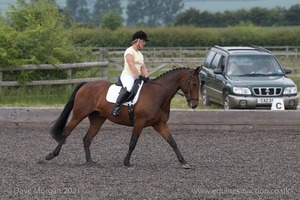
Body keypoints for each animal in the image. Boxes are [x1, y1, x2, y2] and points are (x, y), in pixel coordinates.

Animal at [45, 66, 202, 168]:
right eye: (194, 83)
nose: (194, 104)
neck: (158, 95)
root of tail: (86, 84)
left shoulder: (160, 124)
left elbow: (173, 142)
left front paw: (184, 162)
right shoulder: (140, 122)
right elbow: (133, 143)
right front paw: (127, 162)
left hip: (97, 120)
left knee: (87, 139)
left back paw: (90, 161)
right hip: (79, 115)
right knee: (66, 132)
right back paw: (51, 155)